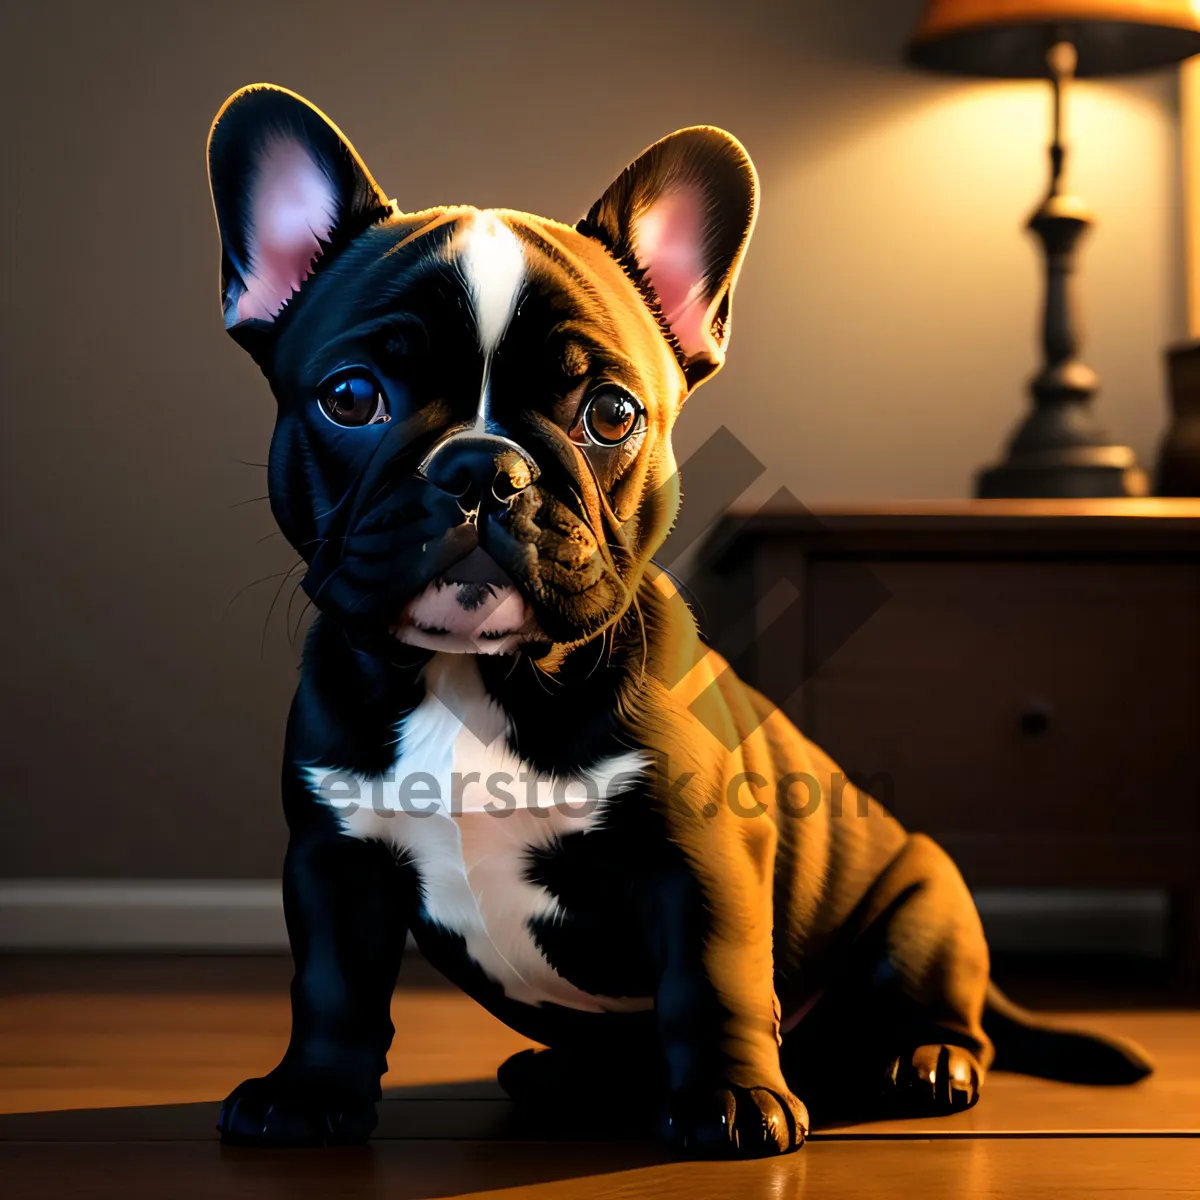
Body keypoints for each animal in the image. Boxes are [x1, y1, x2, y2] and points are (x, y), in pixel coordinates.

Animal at [206, 84, 1152, 1152]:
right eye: (351, 397)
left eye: (612, 414)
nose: (484, 468)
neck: (478, 674)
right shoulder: (335, 859)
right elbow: (332, 986)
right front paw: (309, 1091)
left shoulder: (698, 858)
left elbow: (714, 981)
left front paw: (732, 1102)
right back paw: (565, 1073)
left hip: (923, 900)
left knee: (944, 1011)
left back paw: (924, 1058)